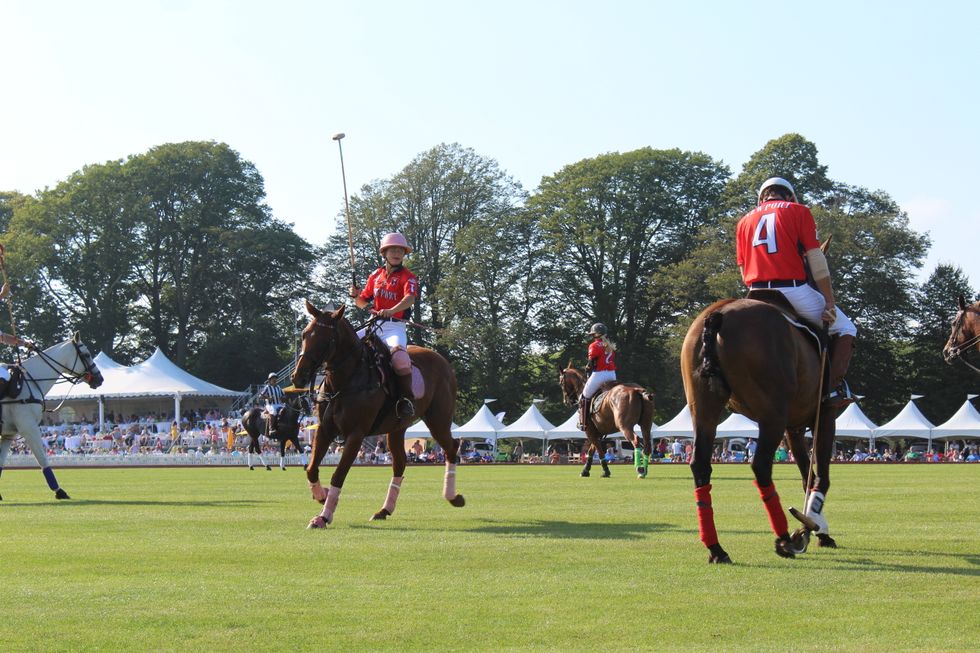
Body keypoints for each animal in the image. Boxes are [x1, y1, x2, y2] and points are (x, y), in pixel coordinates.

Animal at [0, 334, 103, 502]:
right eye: (87, 354)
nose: (100, 379)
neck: (31, 382)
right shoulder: (29, 428)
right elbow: (43, 459)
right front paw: (60, 492)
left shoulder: (9, 434)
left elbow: (1, 463)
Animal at [290, 302, 464, 528]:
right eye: (304, 334)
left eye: (326, 339)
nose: (298, 377)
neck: (344, 382)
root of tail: (444, 362)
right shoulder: (324, 429)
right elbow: (311, 468)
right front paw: (321, 496)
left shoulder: (356, 434)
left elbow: (338, 475)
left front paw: (323, 516)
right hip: (397, 428)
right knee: (400, 463)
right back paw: (384, 510)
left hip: (438, 420)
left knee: (452, 447)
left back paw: (453, 496)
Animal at [680, 298, 836, 564]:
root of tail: (718, 315)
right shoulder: (826, 414)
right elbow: (820, 478)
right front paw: (813, 530)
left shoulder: (794, 427)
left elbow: (807, 476)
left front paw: (813, 527)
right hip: (772, 413)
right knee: (761, 466)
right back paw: (784, 539)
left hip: (702, 407)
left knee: (700, 465)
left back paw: (716, 548)